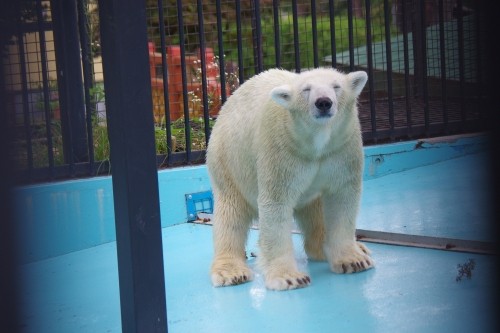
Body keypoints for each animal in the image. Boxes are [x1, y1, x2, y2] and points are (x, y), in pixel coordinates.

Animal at [205, 67, 374, 288]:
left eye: (336, 86)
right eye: (306, 89)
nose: (323, 102)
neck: (314, 144)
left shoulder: (341, 148)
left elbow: (342, 197)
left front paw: (354, 260)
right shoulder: (281, 148)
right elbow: (276, 203)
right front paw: (289, 277)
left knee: (315, 210)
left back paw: (348, 248)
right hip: (228, 160)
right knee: (231, 214)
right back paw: (231, 272)